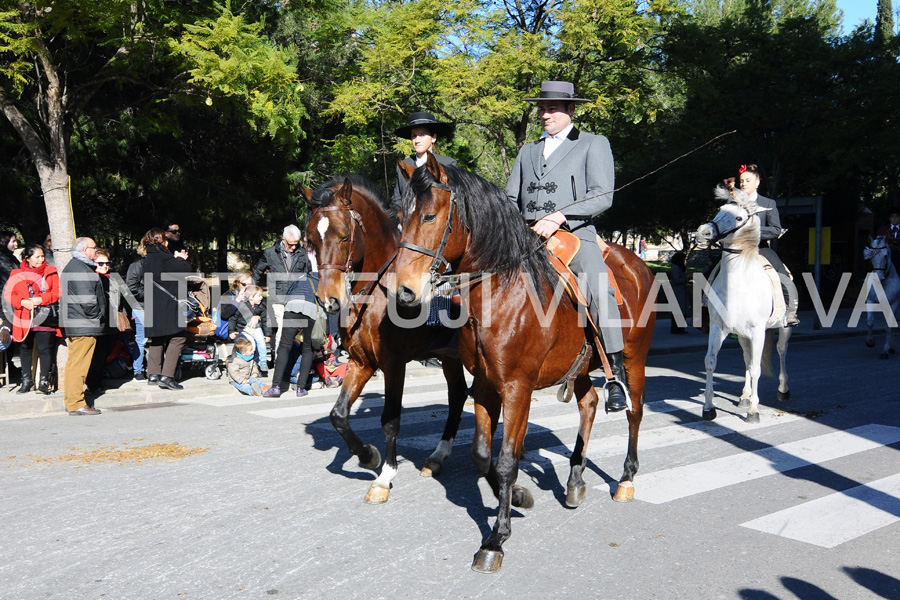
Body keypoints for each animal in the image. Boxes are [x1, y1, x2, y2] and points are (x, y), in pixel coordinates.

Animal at [304, 176, 472, 504]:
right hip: (450, 355)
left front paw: (384, 477)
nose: (329, 300)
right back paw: (438, 456)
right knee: (458, 395)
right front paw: (368, 455)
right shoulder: (361, 362)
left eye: (344, 236)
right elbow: (338, 415)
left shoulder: (394, 364)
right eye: (311, 240)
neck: (377, 294)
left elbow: (390, 420)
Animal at [386, 155, 652, 572]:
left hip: (634, 359)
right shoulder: (484, 385)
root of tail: (638, 264)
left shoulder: (517, 388)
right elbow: (482, 454)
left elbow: (508, 459)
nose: (405, 291)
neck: (502, 292)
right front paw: (520, 496)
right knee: (589, 404)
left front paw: (495, 539)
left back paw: (626, 478)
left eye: (429, 215)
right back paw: (575, 480)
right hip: (579, 367)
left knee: (634, 412)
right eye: (399, 218)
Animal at [696, 185, 788, 424]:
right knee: (747, 358)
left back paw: (783, 390)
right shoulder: (718, 327)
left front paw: (754, 411)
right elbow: (710, 361)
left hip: (783, 327)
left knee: (781, 351)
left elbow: (756, 369)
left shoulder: (758, 331)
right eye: (719, 210)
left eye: (739, 217)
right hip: (742, 335)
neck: (737, 283)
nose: (702, 232)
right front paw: (708, 407)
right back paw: (745, 397)